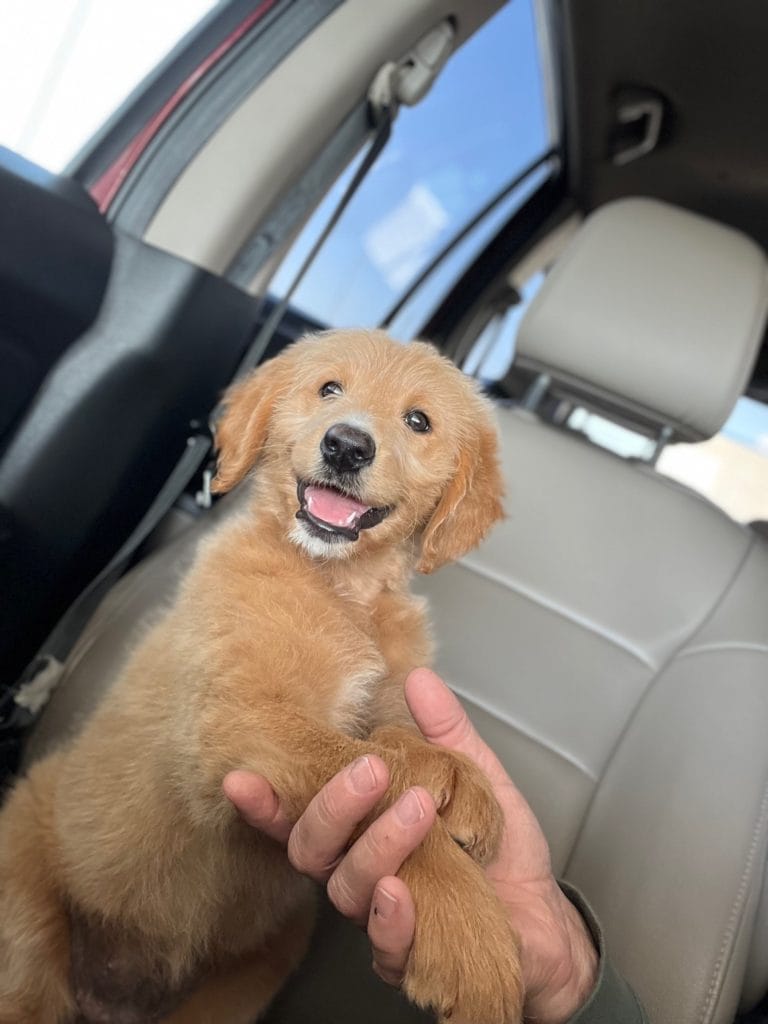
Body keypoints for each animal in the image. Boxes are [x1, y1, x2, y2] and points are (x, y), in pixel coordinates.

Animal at [0, 331, 524, 1019]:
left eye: (419, 421)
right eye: (329, 389)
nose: (346, 445)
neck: (343, 589)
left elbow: (389, 734)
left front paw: (452, 770)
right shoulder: (237, 714)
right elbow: (371, 780)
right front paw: (468, 928)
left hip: (251, 972)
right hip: (28, 935)